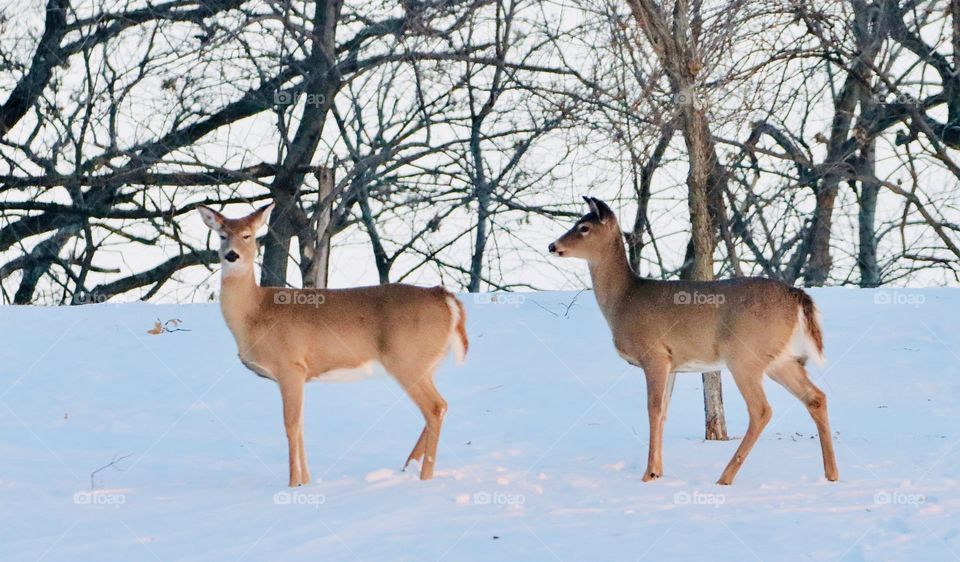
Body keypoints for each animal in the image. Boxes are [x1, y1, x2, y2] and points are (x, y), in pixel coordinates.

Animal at [198, 203, 468, 486]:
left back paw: (425, 478)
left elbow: (290, 425)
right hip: (427, 364)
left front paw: (293, 483)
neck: (254, 313)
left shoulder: (290, 366)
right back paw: (407, 468)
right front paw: (306, 482)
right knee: (440, 407)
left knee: (435, 408)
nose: (232, 255)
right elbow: (301, 424)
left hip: (407, 359)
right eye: (222, 235)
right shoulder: (299, 375)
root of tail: (446, 299)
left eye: (247, 235)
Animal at [548, 197, 838, 485]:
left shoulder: (654, 354)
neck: (623, 299)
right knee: (816, 397)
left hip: (745, 355)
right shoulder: (672, 364)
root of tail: (797, 294)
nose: (553, 246)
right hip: (780, 359)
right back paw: (831, 474)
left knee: (761, 410)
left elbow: (653, 409)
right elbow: (664, 413)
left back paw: (725, 477)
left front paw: (648, 474)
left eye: (583, 227)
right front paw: (658, 471)